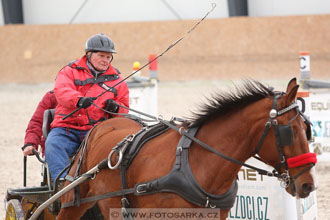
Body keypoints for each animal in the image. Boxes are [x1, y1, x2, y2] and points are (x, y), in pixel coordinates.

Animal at [57, 78, 318, 220]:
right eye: (289, 131)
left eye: (308, 129)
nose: (308, 185)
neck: (195, 163)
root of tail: (103, 123)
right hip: (73, 202)